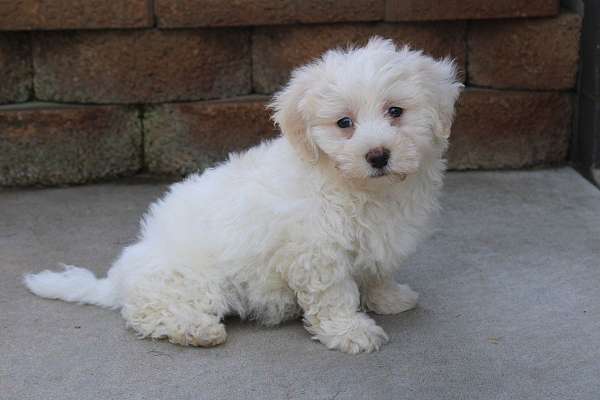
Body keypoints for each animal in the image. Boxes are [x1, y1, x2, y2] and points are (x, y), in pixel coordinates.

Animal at [23, 37, 462, 354]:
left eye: (395, 112)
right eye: (344, 123)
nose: (377, 155)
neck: (360, 188)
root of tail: (119, 278)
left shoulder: (377, 239)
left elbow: (376, 273)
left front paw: (389, 298)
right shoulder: (316, 250)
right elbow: (334, 295)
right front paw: (351, 331)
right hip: (190, 280)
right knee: (146, 311)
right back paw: (195, 329)